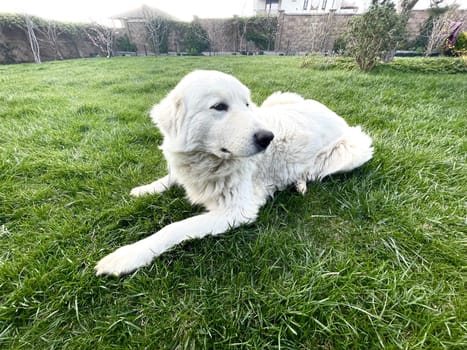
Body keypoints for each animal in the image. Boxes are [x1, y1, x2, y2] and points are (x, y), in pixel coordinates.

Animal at [95, 69, 372, 276]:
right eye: (219, 106)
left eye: (246, 104)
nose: (268, 137)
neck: (207, 161)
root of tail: (332, 112)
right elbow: (171, 177)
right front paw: (145, 189)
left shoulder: (236, 210)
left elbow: (173, 228)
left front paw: (126, 256)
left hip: (355, 149)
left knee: (315, 171)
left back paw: (298, 182)